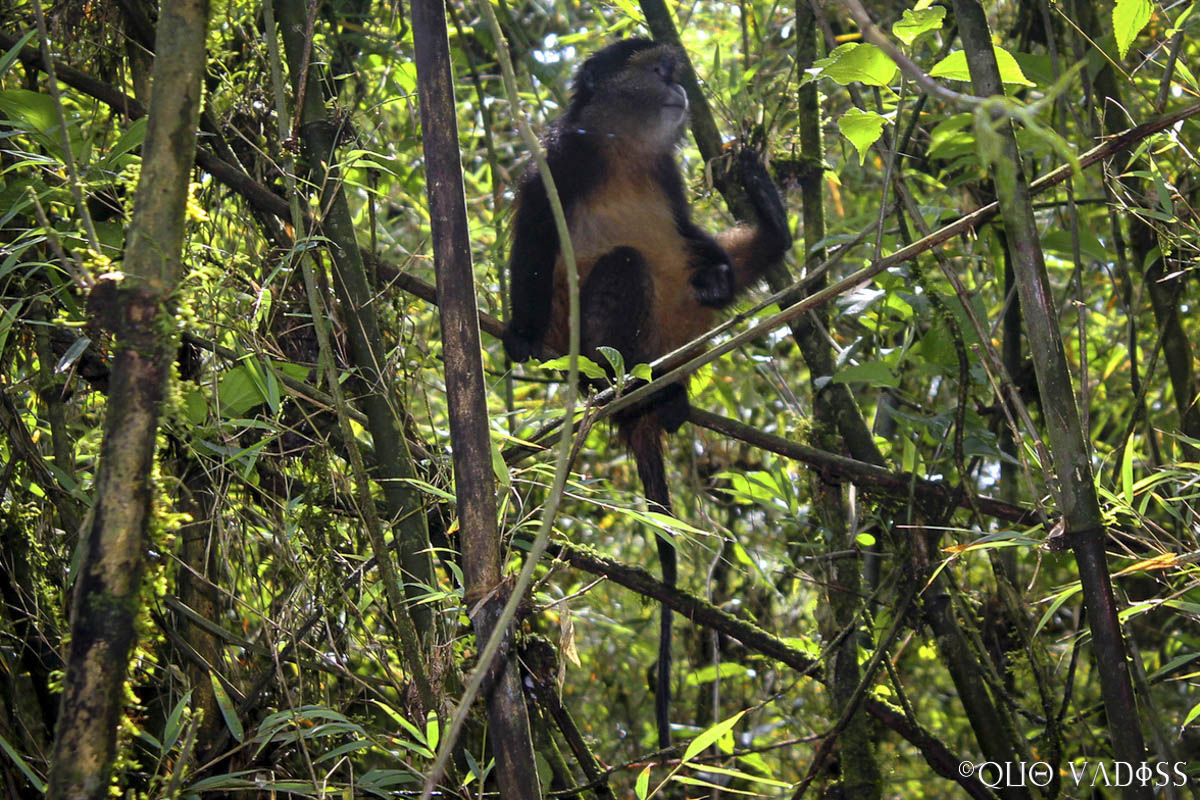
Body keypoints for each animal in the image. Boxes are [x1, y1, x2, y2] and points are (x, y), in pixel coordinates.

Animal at [502, 37, 791, 747]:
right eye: (659, 70)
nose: (681, 88)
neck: (625, 150)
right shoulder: (560, 160)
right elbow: (534, 239)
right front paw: (518, 335)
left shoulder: (666, 174)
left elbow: (693, 235)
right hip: (581, 339)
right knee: (629, 267)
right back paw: (625, 387)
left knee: (699, 274)